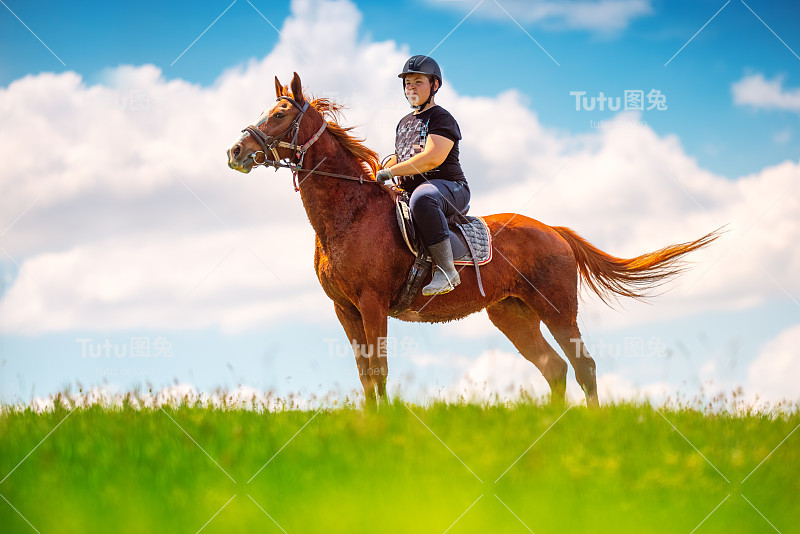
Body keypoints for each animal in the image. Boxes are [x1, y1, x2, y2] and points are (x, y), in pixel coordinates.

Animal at [227, 73, 720, 410]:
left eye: (280, 114)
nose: (235, 151)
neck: (349, 214)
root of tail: (554, 232)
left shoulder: (370, 303)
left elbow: (379, 369)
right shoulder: (344, 308)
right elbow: (364, 373)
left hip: (558, 308)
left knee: (583, 366)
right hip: (512, 314)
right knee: (554, 367)